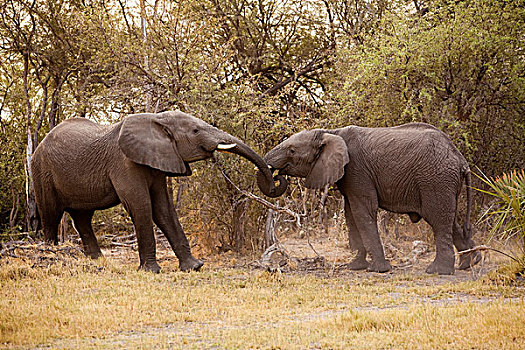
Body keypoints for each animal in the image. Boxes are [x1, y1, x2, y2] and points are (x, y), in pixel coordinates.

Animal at [31, 110, 286, 272]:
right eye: (195, 131)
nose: (276, 177)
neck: (156, 120)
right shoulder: (123, 162)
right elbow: (142, 205)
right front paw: (151, 271)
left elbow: (164, 208)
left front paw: (194, 267)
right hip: (41, 171)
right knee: (51, 215)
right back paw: (51, 255)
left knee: (82, 217)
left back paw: (97, 261)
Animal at [260, 121, 482, 274]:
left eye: (292, 150)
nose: (276, 176)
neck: (331, 132)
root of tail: (461, 160)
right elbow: (350, 214)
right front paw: (355, 267)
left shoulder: (357, 170)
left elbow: (363, 211)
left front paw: (379, 269)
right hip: (442, 183)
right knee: (450, 220)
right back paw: (471, 263)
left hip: (435, 179)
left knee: (438, 220)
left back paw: (438, 271)